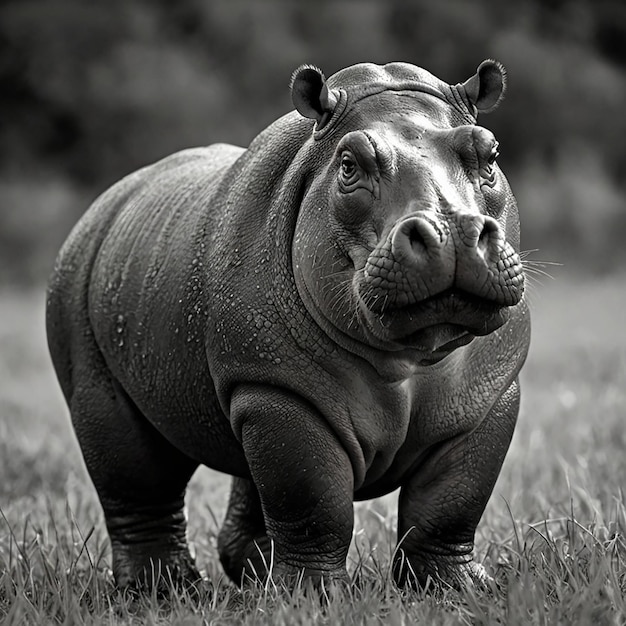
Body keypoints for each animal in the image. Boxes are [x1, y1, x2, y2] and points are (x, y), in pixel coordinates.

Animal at [46, 58, 528, 588]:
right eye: (348, 166)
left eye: (491, 155)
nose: (454, 232)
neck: (408, 353)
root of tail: (103, 204)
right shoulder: (279, 389)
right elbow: (313, 497)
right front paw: (314, 596)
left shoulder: (488, 395)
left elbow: (452, 502)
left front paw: (457, 590)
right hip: (77, 297)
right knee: (134, 467)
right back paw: (165, 589)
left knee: (246, 470)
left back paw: (252, 575)